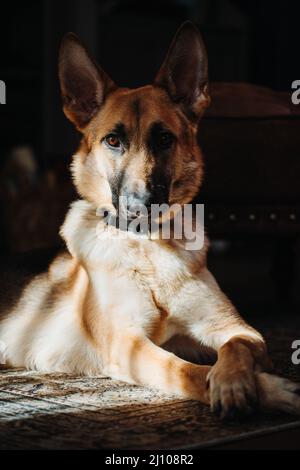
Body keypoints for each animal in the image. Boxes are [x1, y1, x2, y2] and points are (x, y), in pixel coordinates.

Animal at [0, 21, 300, 418]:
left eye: (164, 139)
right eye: (113, 140)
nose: (141, 207)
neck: (148, 250)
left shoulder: (236, 328)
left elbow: (233, 349)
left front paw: (234, 381)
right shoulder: (129, 345)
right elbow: (186, 371)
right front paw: (267, 389)